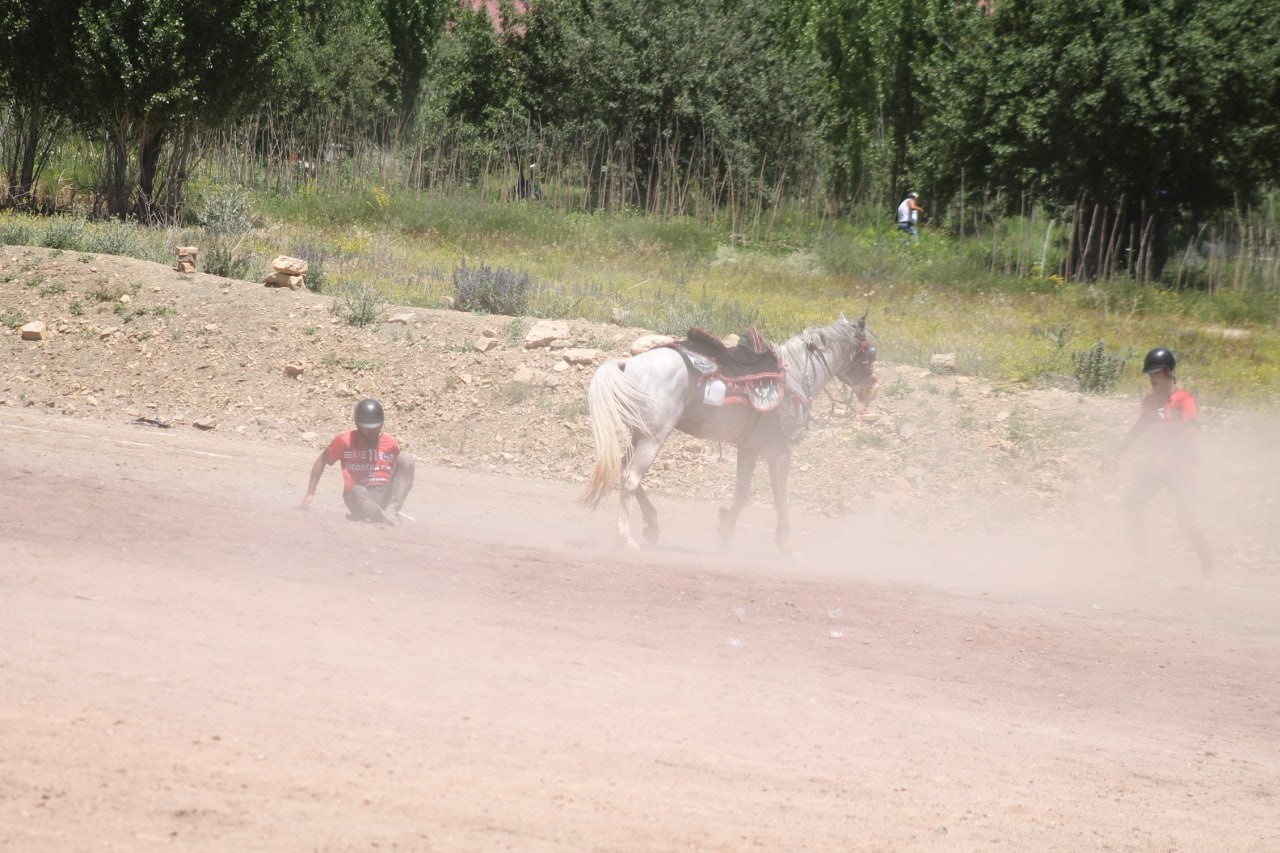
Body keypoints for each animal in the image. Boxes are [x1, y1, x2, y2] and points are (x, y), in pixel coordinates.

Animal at [583, 315, 875, 548]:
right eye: (870, 352)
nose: (870, 390)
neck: (795, 374)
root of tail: (628, 365)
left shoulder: (749, 448)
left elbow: (742, 492)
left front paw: (726, 530)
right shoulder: (779, 449)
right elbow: (780, 496)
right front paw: (786, 544)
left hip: (640, 434)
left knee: (624, 468)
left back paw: (652, 525)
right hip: (653, 437)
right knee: (630, 478)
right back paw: (626, 538)